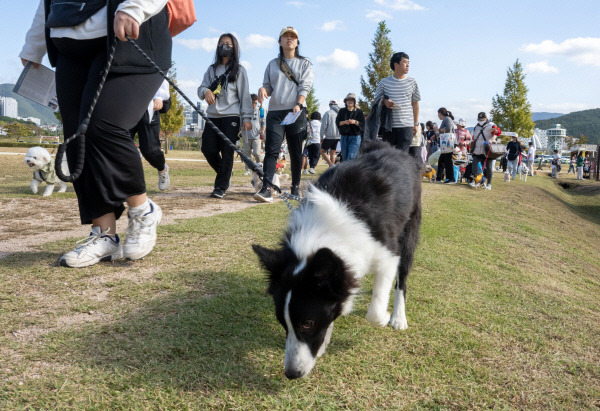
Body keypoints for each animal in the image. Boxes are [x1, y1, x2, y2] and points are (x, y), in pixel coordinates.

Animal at [253, 141, 422, 380]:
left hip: (409, 234)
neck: (324, 231)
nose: (291, 374)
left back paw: (399, 318)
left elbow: (374, 312)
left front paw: (385, 315)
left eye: (307, 323)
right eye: (281, 321)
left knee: (402, 281)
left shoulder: (388, 254)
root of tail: (391, 148)